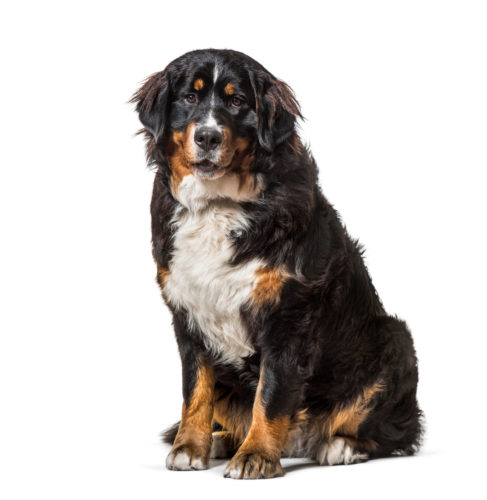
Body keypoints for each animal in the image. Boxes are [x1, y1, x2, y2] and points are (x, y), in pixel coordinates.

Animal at [131, 48, 424, 478]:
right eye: (189, 97)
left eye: (237, 102)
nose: (208, 137)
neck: (218, 205)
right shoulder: (188, 313)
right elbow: (196, 391)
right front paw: (189, 448)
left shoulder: (288, 316)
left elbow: (270, 395)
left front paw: (256, 455)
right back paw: (221, 442)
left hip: (394, 340)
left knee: (394, 432)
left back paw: (341, 446)